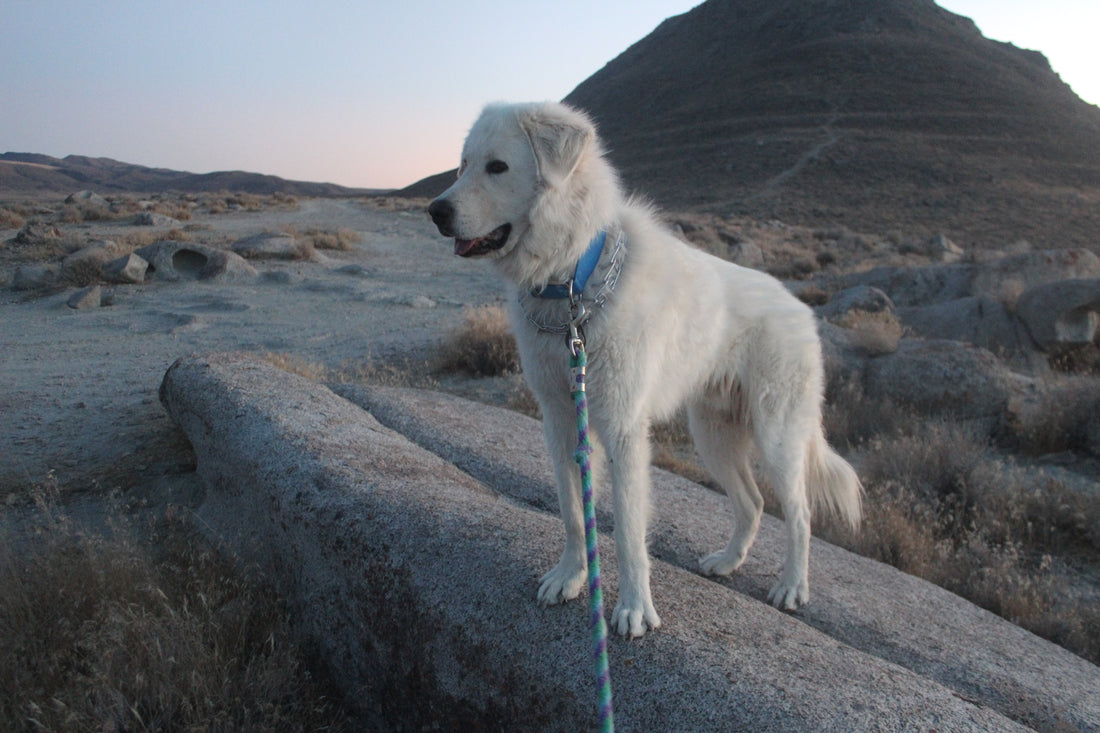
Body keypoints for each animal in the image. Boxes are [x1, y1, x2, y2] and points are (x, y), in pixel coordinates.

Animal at [424, 98, 862, 633]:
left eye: (498, 167)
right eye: (463, 165)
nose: (435, 211)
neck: (574, 281)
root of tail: (799, 307)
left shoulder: (624, 430)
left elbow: (631, 533)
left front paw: (634, 609)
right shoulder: (560, 419)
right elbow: (574, 513)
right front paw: (571, 577)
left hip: (777, 436)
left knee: (799, 514)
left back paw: (792, 587)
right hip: (713, 437)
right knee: (754, 503)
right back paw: (727, 562)